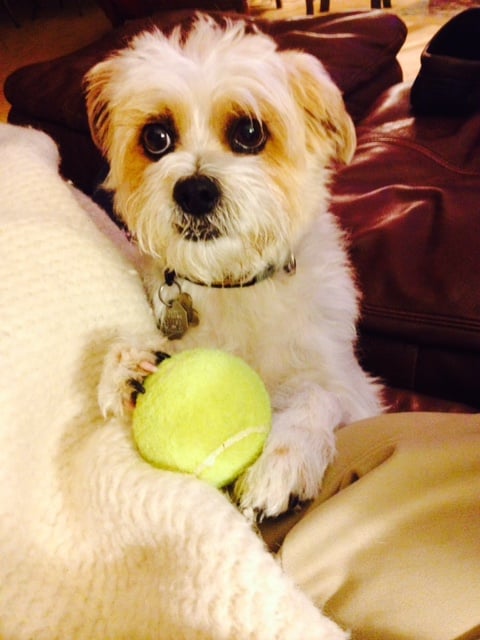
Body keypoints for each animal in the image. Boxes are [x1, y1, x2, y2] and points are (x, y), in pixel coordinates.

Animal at [85, 14, 383, 520]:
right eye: (156, 138)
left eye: (249, 132)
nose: (194, 191)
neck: (233, 284)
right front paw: (128, 364)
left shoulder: (355, 392)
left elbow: (317, 393)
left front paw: (284, 457)